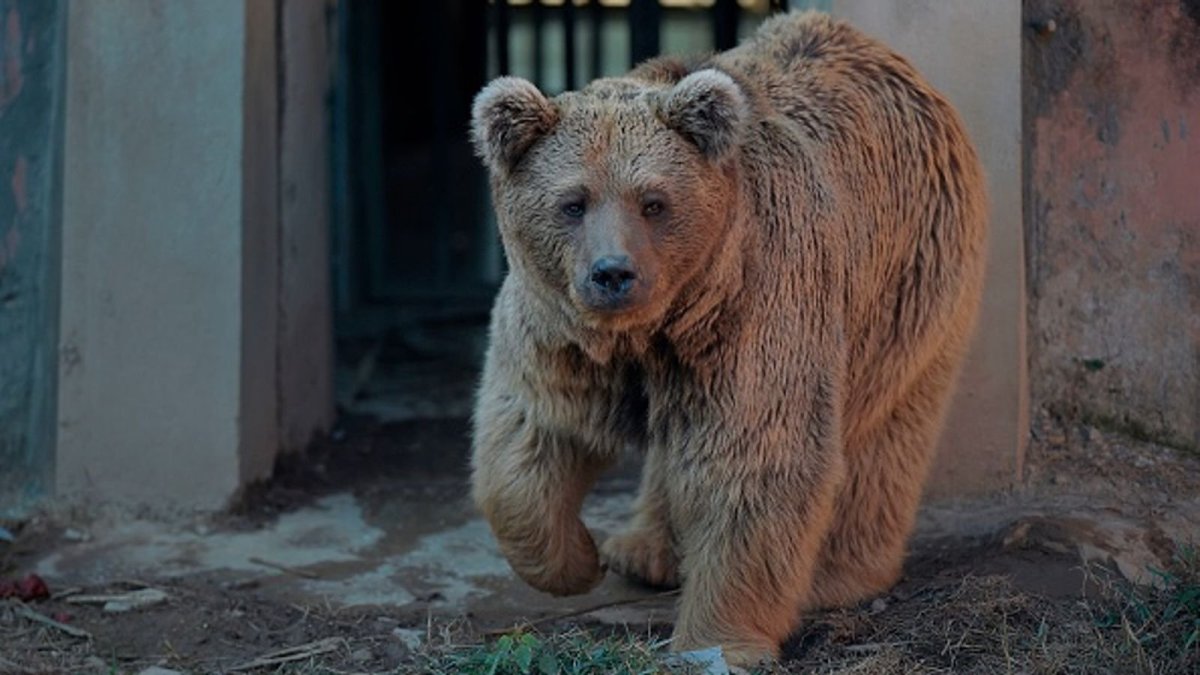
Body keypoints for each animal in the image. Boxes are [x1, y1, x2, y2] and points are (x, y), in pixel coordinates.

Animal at [468, 10, 987, 666]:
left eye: (654, 201)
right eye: (572, 202)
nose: (613, 273)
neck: (655, 327)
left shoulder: (755, 307)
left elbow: (753, 455)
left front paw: (716, 642)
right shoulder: (561, 329)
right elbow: (530, 435)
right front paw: (578, 560)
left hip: (910, 282)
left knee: (886, 430)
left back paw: (839, 575)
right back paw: (642, 549)